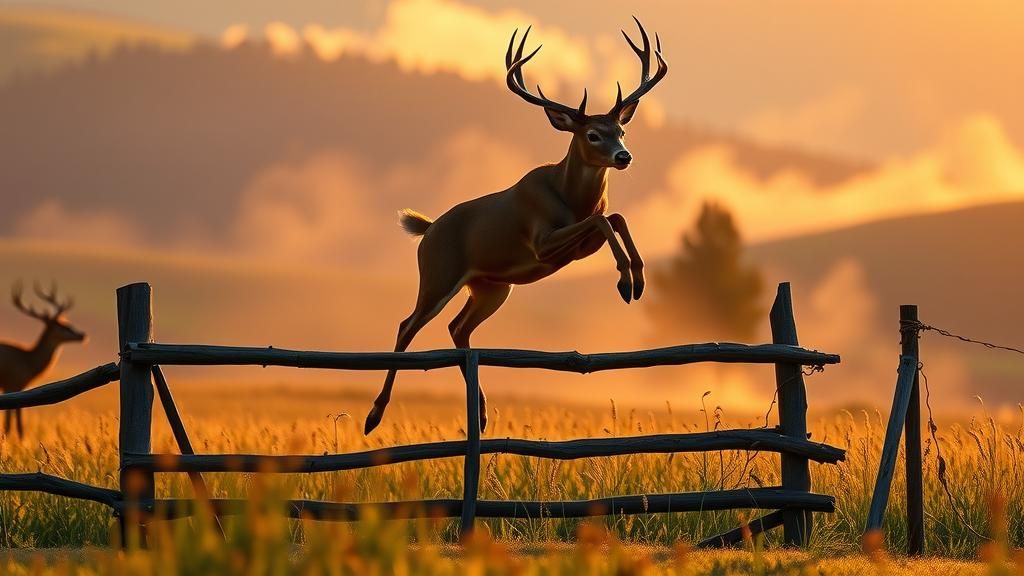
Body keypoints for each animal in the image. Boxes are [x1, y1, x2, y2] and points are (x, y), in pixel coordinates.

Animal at [0, 282, 86, 438]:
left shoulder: (15, 387)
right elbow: (14, 423)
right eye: (63, 325)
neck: (29, 361)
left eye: (67, 322)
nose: (82, 335)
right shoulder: (13, 383)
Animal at [363, 18, 668, 435]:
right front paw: (625, 282)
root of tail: (428, 230)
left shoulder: (578, 246)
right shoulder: (541, 241)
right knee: (407, 326)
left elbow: (614, 217)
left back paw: (481, 414)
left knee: (458, 328)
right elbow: (603, 219)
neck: (568, 196)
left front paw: (637, 279)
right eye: (592, 134)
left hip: (492, 287)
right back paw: (374, 415)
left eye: (621, 131)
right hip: (439, 274)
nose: (624, 156)